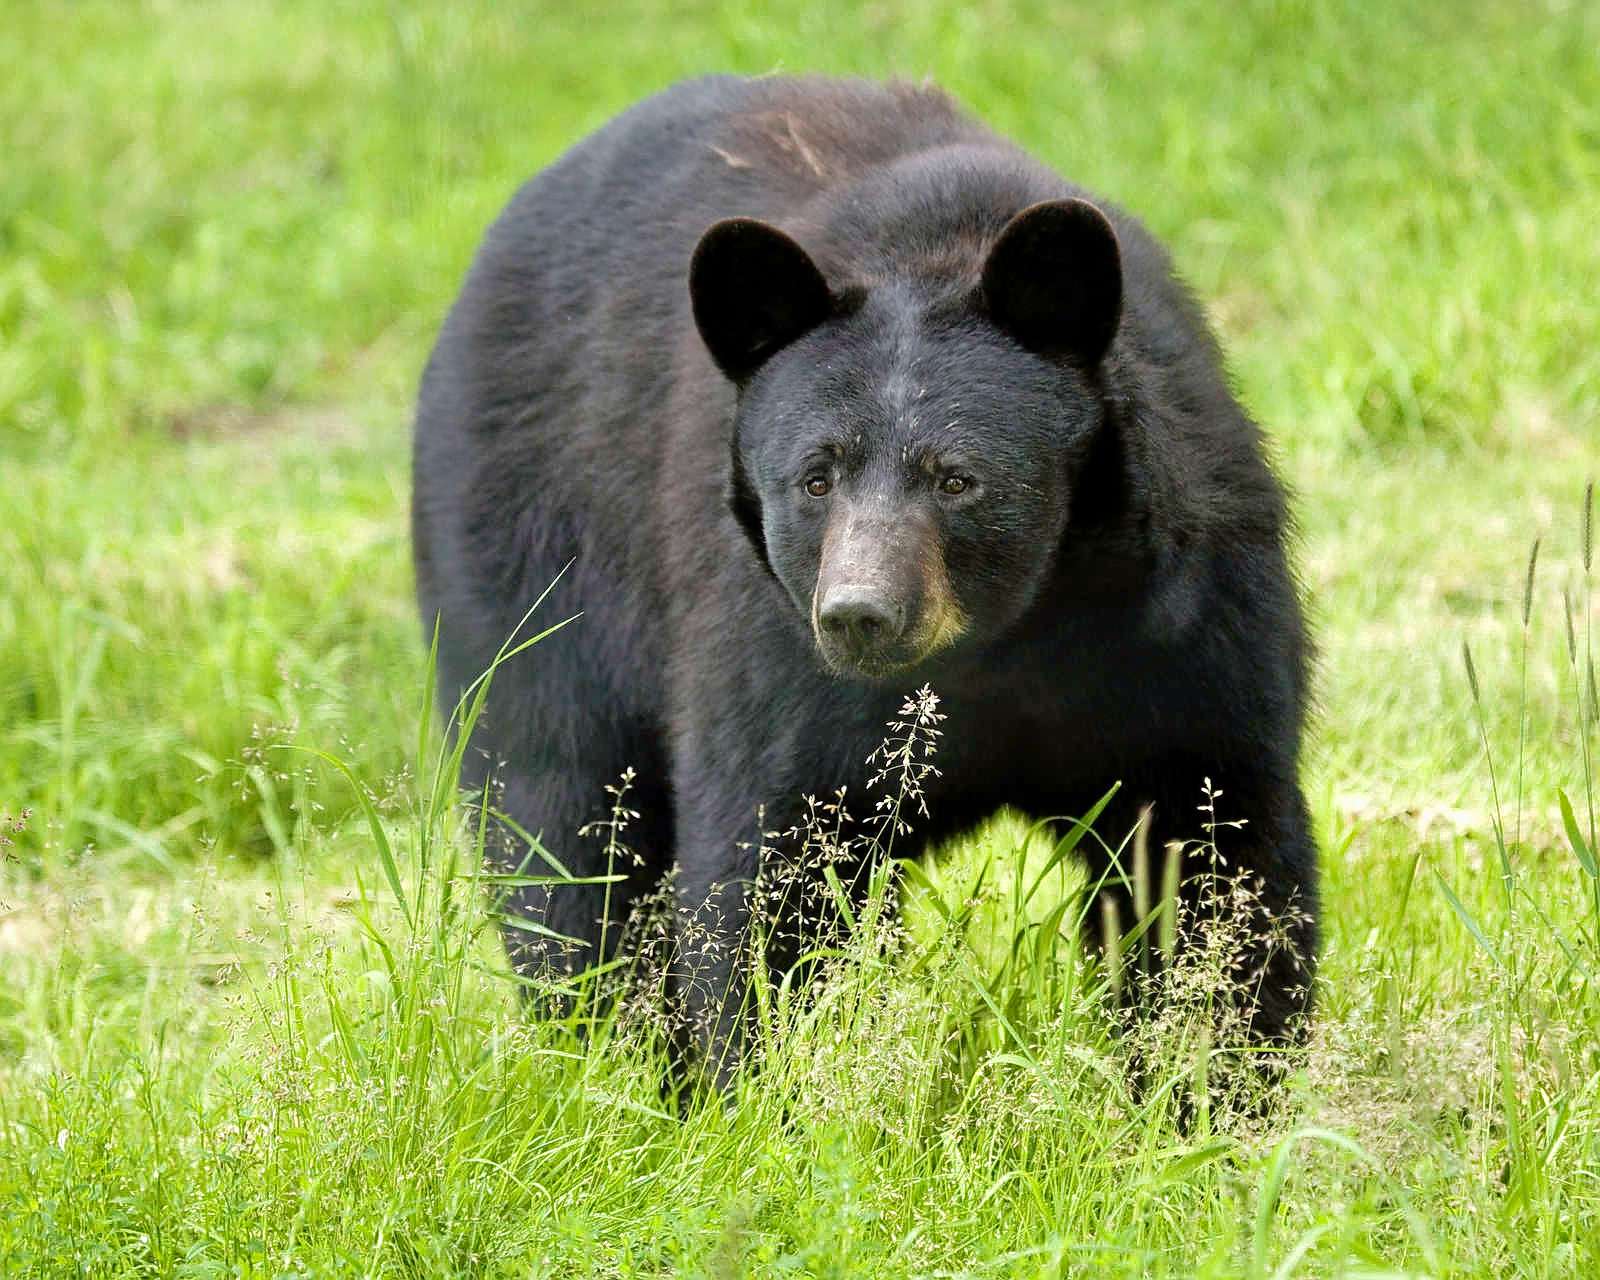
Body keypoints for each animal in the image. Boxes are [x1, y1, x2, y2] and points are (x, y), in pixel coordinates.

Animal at [411, 74, 1317, 1087]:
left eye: (957, 478)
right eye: (816, 477)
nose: (860, 615)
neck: (1006, 645)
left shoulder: (1185, 623)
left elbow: (1214, 850)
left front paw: (1209, 1085)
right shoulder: (772, 654)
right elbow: (768, 875)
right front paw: (761, 1090)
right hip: (534, 561)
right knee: (562, 829)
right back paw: (613, 1058)